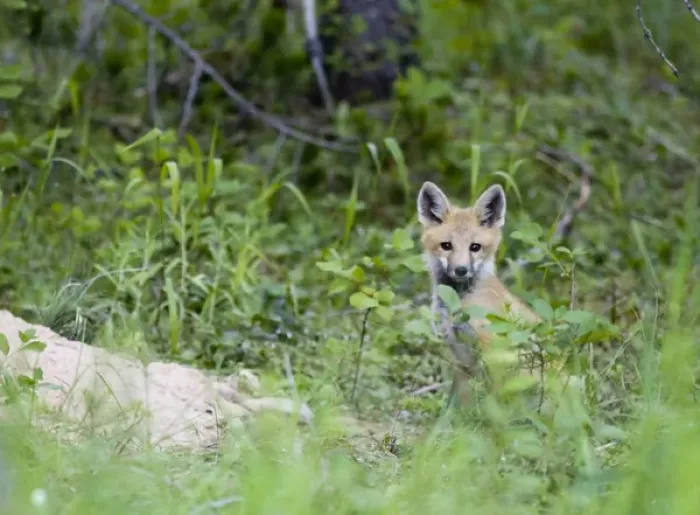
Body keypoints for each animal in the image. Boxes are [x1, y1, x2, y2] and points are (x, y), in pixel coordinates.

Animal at [416, 181, 553, 406]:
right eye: (446, 246)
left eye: (475, 247)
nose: (461, 270)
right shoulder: (462, 356)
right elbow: (460, 402)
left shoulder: (493, 349)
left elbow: (495, 399)